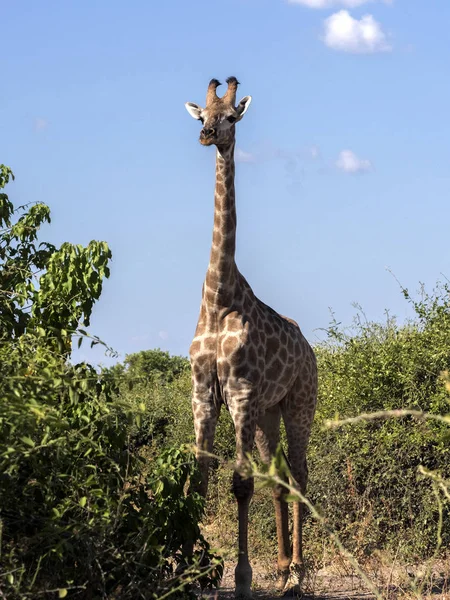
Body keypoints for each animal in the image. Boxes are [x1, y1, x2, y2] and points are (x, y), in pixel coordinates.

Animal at [185, 77, 318, 596]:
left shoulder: (239, 392)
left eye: (231, 117)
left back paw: (298, 572)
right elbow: (199, 478)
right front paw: (187, 570)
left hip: (299, 402)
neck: (218, 297)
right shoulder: (204, 394)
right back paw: (281, 569)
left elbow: (240, 484)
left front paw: (240, 579)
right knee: (278, 475)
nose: (206, 136)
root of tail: (310, 348)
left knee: (298, 473)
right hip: (267, 414)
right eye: (203, 114)